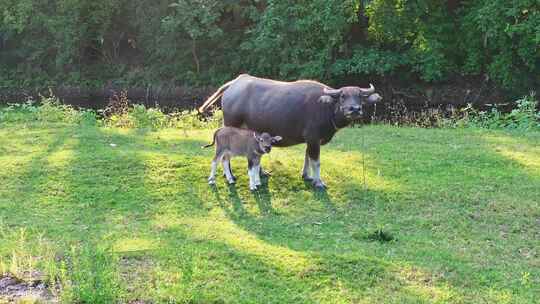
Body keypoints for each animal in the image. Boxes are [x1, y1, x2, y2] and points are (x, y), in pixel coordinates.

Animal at [196, 73, 382, 188]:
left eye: (360, 96)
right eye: (343, 96)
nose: (354, 109)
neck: (326, 108)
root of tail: (235, 83)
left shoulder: (310, 140)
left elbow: (307, 157)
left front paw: (306, 175)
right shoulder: (314, 139)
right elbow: (316, 161)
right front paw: (318, 182)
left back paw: (260, 173)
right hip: (230, 128)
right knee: (225, 157)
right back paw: (230, 176)